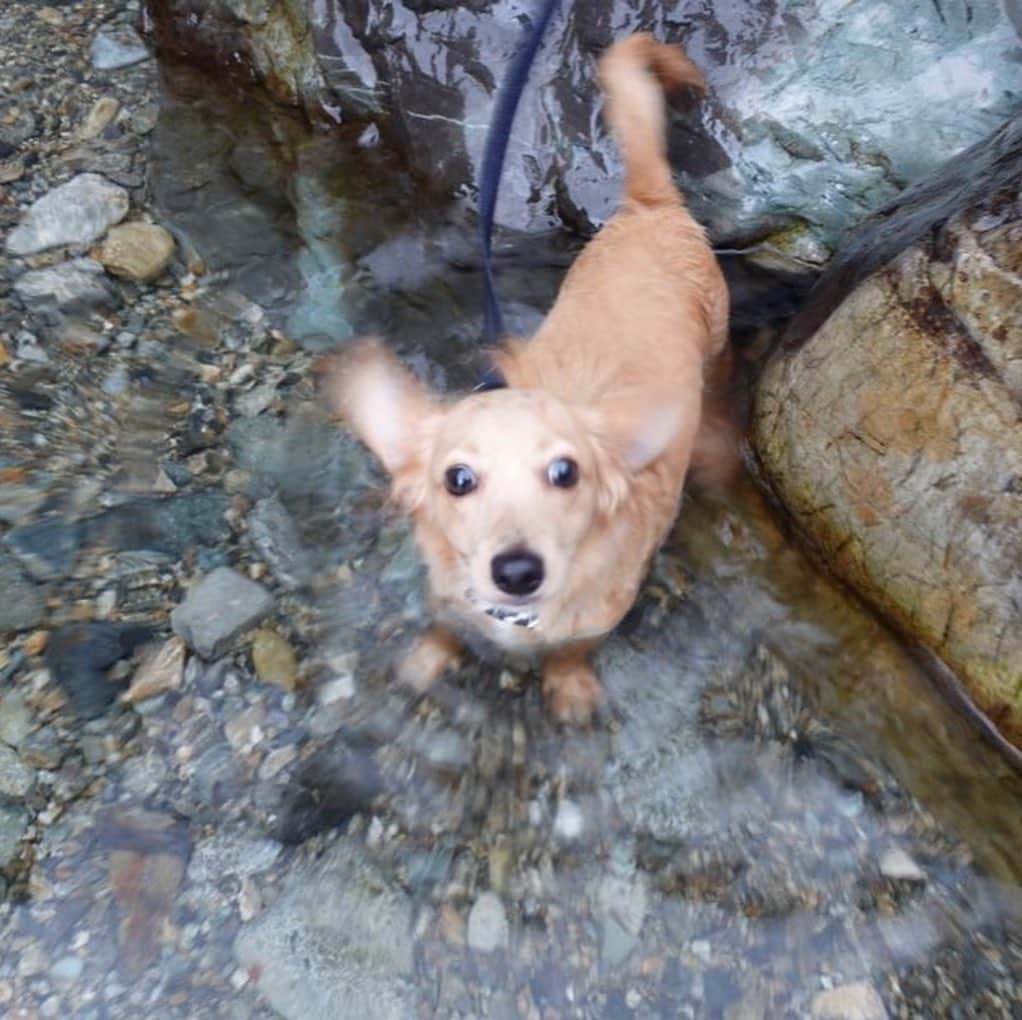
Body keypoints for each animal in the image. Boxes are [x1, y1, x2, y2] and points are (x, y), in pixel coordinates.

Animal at [322, 31, 731, 727]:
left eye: (566, 472)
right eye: (458, 480)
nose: (516, 571)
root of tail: (650, 208)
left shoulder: (594, 620)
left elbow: (570, 651)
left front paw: (568, 688)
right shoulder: (450, 596)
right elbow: (446, 626)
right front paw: (427, 661)